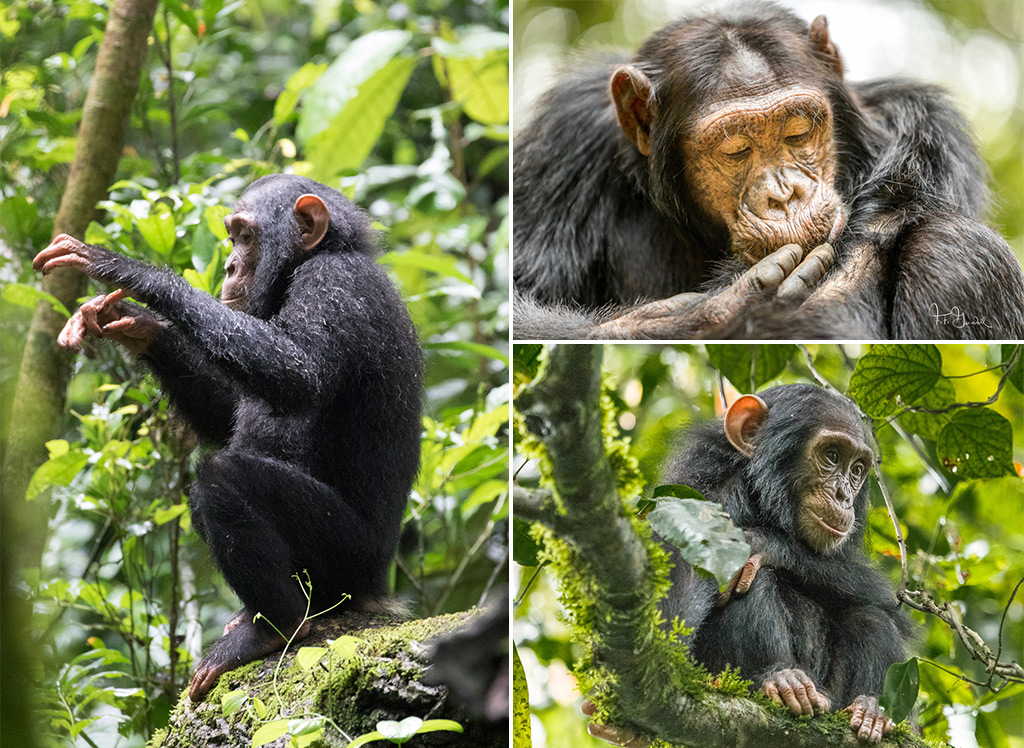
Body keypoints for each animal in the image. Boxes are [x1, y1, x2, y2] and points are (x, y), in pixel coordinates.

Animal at [33, 175, 419, 700]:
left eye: (245, 236)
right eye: (231, 237)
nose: (232, 265)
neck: (311, 261)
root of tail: (379, 590)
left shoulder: (335, 286)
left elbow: (298, 371)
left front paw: (125, 269)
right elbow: (230, 411)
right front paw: (137, 323)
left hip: (348, 558)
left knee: (224, 478)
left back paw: (274, 628)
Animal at [516, 3, 1024, 338]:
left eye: (798, 131)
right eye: (735, 149)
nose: (783, 195)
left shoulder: (923, 138)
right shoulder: (562, 142)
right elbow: (526, 301)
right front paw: (710, 314)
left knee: (953, 248)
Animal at [651, 381, 909, 741]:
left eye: (857, 469)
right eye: (832, 456)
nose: (844, 495)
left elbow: (881, 596)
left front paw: (765, 543)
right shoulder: (697, 492)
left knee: (870, 614)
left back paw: (870, 710)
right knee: (755, 580)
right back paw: (779, 678)